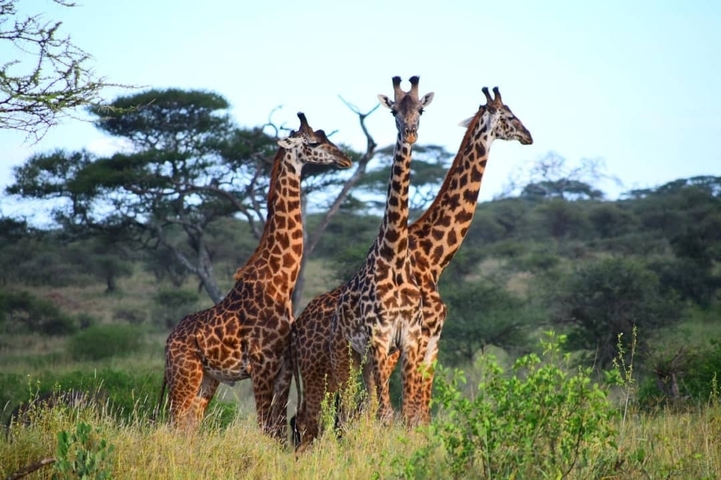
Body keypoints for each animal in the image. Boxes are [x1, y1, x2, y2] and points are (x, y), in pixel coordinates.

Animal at [161, 112, 352, 440]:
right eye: (314, 142)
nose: (345, 158)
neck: (279, 283)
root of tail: (167, 343)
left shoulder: (284, 367)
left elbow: (277, 428)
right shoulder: (261, 365)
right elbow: (265, 425)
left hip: (208, 378)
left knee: (190, 423)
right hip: (184, 374)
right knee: (173, 423)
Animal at [291, 86, 532, 449]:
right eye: (509, 116)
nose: (528, 135)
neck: (434, 257)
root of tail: (296, 326)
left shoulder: (429, 345)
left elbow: (419, 416)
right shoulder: (422, 339)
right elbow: (412, 415)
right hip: (328, 366)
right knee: (319, 420)